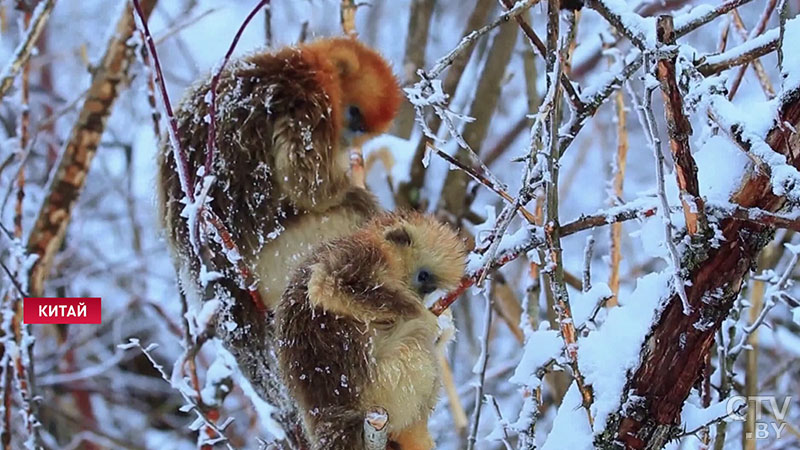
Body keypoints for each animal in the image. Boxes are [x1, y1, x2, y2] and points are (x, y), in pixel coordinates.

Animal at [157, 37, 404, 308]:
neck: (303, 67)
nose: (348, 141)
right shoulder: (309, 106)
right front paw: (348, 192)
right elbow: (307, 185)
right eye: (354, 113)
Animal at [276, 212, 466, 450]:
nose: (421, 295)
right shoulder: (361, 257)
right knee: (419, 339)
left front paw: (443, 320)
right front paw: (423, 314)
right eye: (422, 276)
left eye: (429, 287)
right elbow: (327, 284)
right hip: (384, 388)